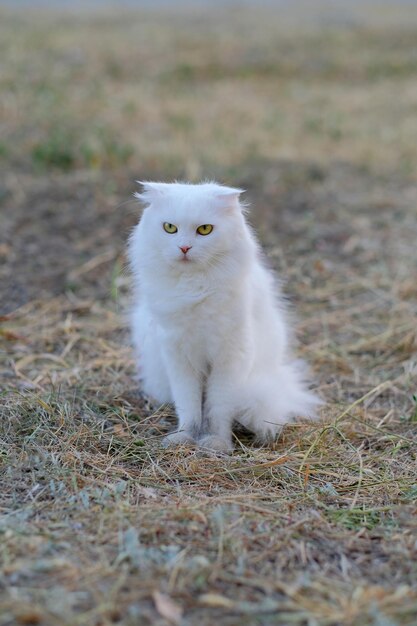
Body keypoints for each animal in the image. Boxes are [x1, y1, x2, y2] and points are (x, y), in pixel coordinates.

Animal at [128, 180, 320, 448]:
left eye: (205, 230)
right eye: (170, 228)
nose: (184, 247)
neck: (194, 287)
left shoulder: (230, 356)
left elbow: (217, 408)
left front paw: (216, 444)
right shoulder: (178, 355)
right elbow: (188, 406)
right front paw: (183, 438)